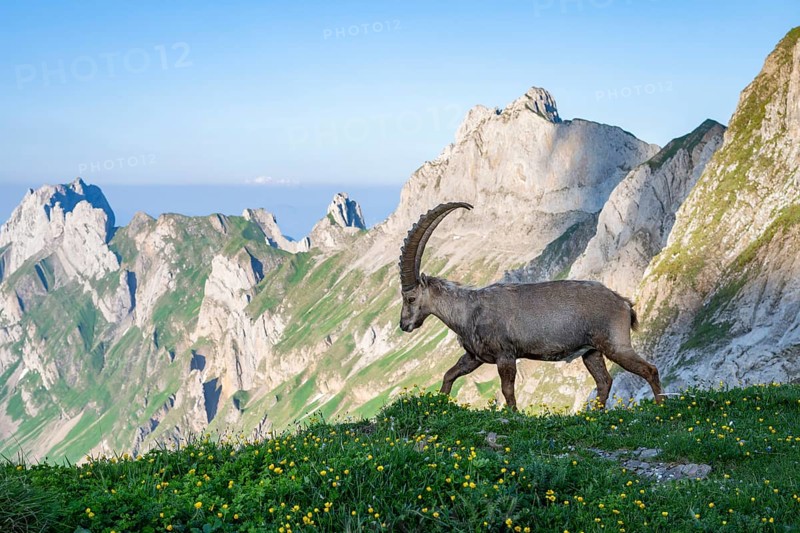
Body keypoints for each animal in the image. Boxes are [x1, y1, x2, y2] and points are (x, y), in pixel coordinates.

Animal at [398, 202, 663, 410]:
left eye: (410, 298)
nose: (404, 325)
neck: (469, 310)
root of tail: (624, 303)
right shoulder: (474, 357)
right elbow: (449, 375)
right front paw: (439, 405)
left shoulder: (505, 356)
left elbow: (507, 390)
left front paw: (513, 415)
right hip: (591, 352)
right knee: (604, 381)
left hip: (616, 345)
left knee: (650, 370)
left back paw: (660, 407)